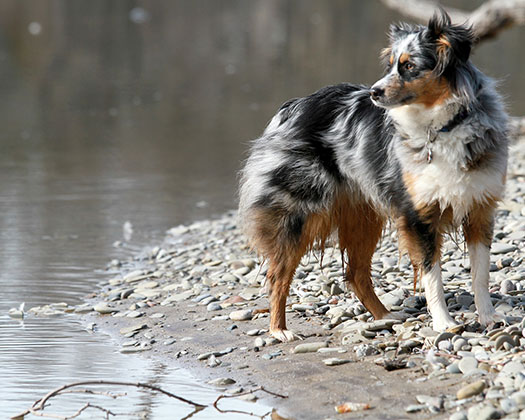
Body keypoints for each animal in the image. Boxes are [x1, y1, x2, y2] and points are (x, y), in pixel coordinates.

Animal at [238, 10, 508, 342]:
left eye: (408, 66)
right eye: (390, 64)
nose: (373, 92)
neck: (443, 126)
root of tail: (293, 106)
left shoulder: (480, 208)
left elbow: (480, 273)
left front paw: (488, 317)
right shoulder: (419, 216)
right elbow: (432, 275)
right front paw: (444, 322)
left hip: (363, 215)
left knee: (355, 273)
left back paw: (385, 316)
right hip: (298, 214)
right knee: (278, 274)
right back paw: (280, 330)